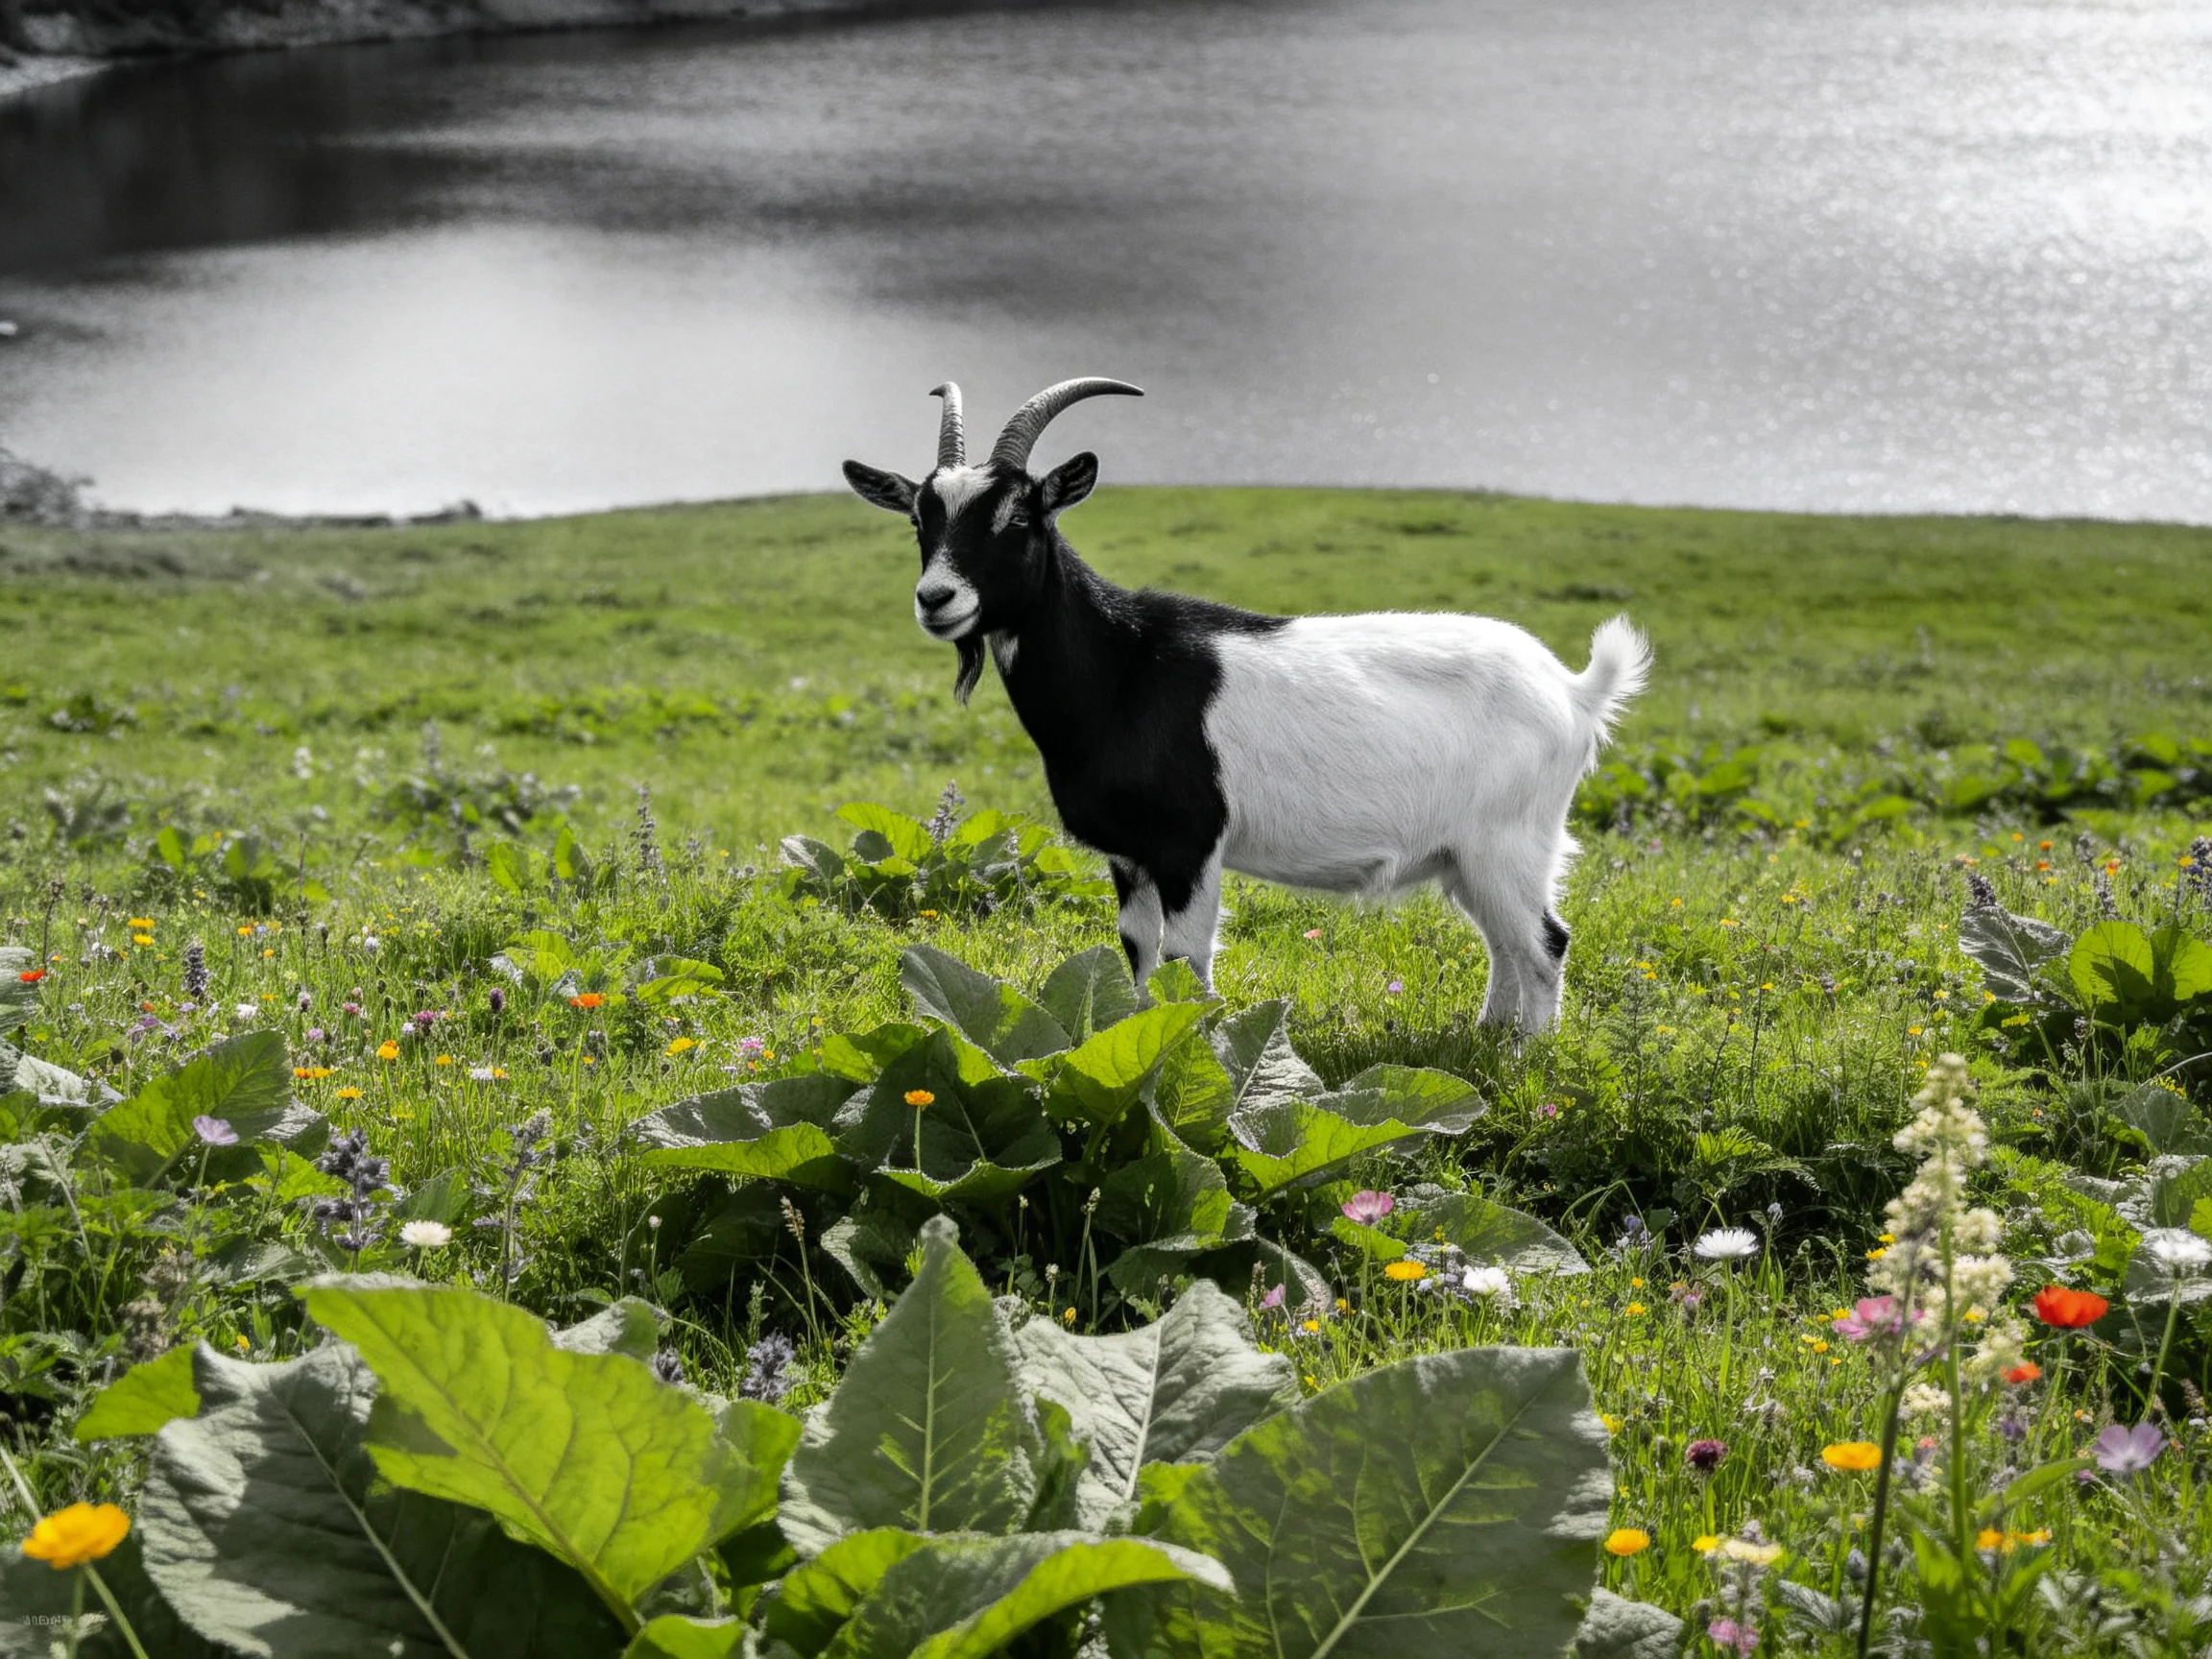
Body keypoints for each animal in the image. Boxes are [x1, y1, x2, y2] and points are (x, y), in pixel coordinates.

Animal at [842, 379, 1649, 1031]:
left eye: (1018, 517)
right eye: (919, 519)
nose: (936, 599)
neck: (1123, 670)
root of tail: (1573, 691)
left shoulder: (1191, 844)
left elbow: (1186, 964)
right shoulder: (1130, 857)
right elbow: (1139, 958)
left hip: (1509, 839)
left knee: (1544, 943)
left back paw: (1526, 1065)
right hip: (1468, 854)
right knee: (1506, 942)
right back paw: (1489, 1038)